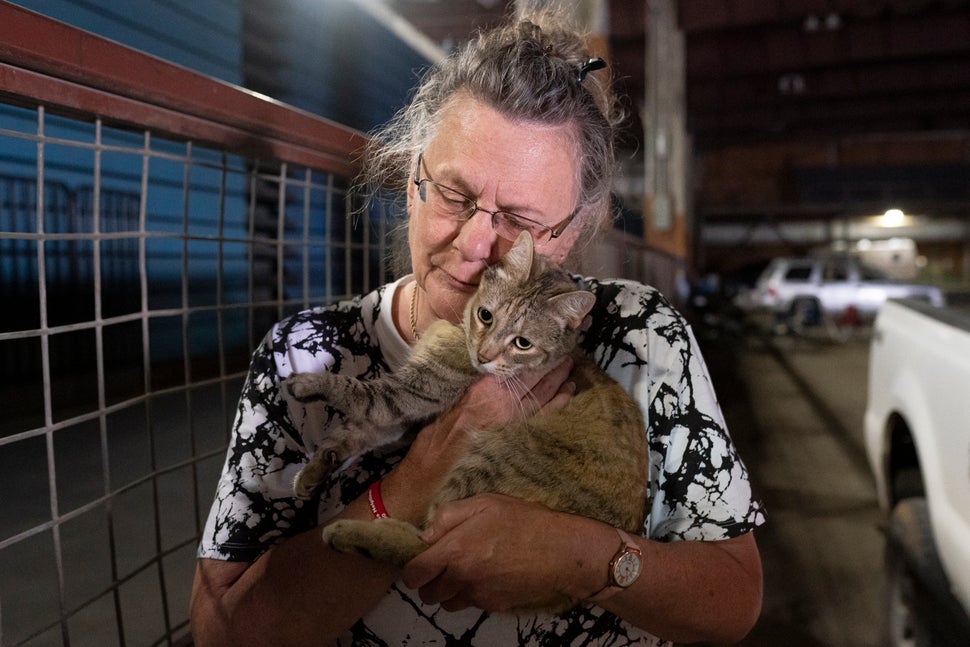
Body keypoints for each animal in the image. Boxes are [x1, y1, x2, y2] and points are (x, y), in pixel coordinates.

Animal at [288, 234, 652, 612]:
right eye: (486, 316)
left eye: (522, 343)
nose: (484, 356)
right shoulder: (411, 416)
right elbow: (357, 432)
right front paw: (315, 470)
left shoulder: (413, 392)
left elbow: (360, 394)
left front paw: (310, 385)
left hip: (492, 458)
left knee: (427, 550)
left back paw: (351, 534)